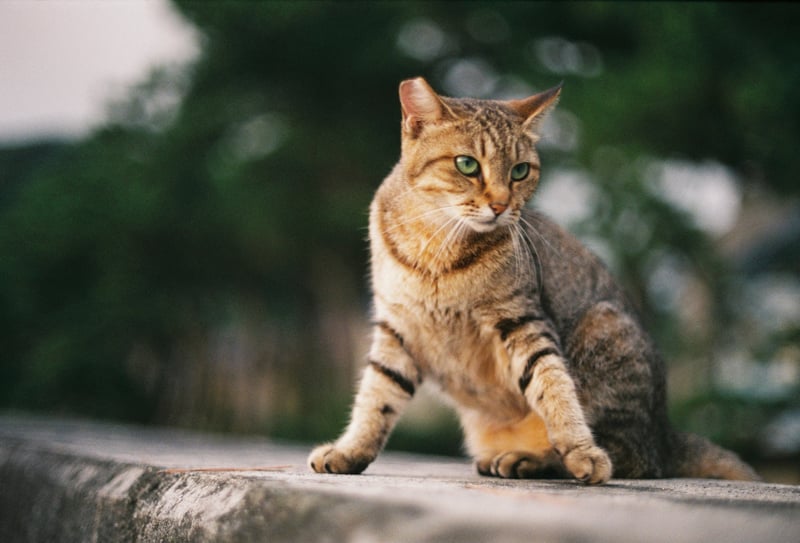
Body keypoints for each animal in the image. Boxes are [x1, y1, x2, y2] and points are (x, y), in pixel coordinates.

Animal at [306, 77, 756, 484]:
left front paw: (581, 450)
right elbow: (376, 396)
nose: (501, 205)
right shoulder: (397, 327)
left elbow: (552, 382)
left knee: (631, 456)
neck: (437, 250)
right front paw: (350, 451)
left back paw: (532, 459)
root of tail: (665, 434)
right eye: (467, 164)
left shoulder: (521, 317)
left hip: (605, 329)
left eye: (520, 171)